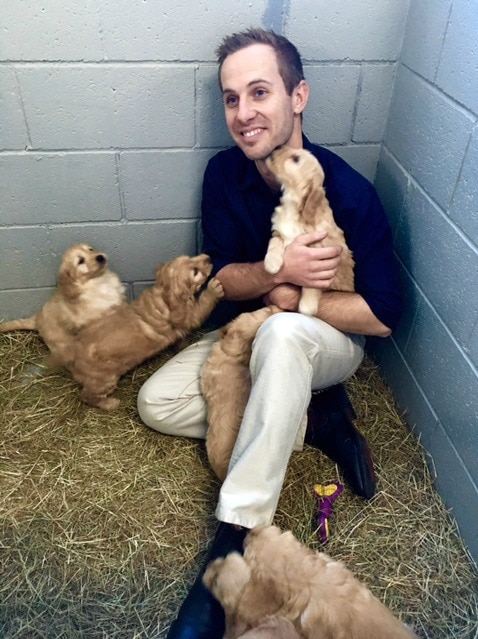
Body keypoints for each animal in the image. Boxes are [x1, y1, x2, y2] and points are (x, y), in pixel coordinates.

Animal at [62, 254, 225, 410]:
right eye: (195, 272)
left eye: (190, 258)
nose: (208, 258)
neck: (162, 295)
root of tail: (73, 352)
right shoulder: (190, 317)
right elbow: (202, 305)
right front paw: (214, 288)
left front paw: (183, 346)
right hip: (103, 379)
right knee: (87, 395)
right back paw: (110, 404)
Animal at [264, 144, 352, 316]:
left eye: (296, 159)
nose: (274, 150)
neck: (294, 205)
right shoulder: (279, 231)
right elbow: (274, 241)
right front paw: (271, 263)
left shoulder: (319, 259)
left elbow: (311, 285)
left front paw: (306, 307)